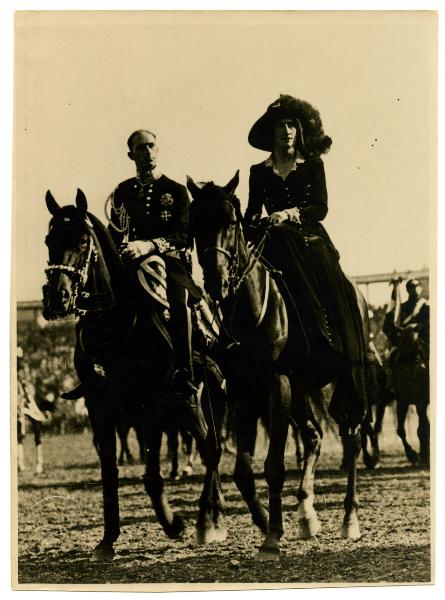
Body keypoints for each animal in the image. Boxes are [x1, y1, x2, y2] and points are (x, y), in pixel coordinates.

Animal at [42, 190, 225, 560]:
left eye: (81, 241)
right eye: (49, 241)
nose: (56, 297)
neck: (113, 326)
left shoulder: (150, 405)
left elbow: (152, 473)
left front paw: (174, 524)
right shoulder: (100, 407)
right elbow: (109, 472)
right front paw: (107, 540)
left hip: (204, 400)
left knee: (212, 449)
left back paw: (206, 520)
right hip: (190, 408)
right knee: (207, 445)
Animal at [187, 171, 374, 560]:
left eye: (230, 221)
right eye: (195, 223)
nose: (215, 280)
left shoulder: (277, 383)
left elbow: (273, 466)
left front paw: (272, 536)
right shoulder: (243, 391)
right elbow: (243, 470)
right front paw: (264, 523)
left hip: (347, 379)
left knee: (352, 437)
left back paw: (349, 518)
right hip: (302, 389)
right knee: (315, 435)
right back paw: (306, 515)